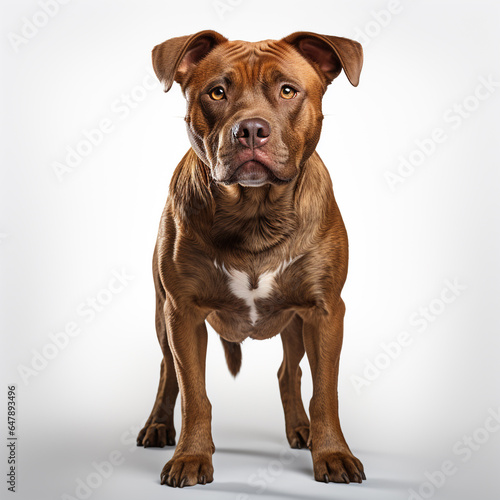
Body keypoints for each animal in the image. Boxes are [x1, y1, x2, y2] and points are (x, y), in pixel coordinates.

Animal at [137, 30, 364, 488]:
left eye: (288, 90)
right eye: (217, 92)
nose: (251, 130)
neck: (255, 214)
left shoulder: (325, 312)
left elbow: (325, 393)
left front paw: (332, 453)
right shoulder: (182, 313)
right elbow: (194, 393)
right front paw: (191, 456)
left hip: (296, 323)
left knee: (289, 372)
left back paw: (301, 430)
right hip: (160, 315)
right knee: (167, 372)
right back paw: (158, 426)